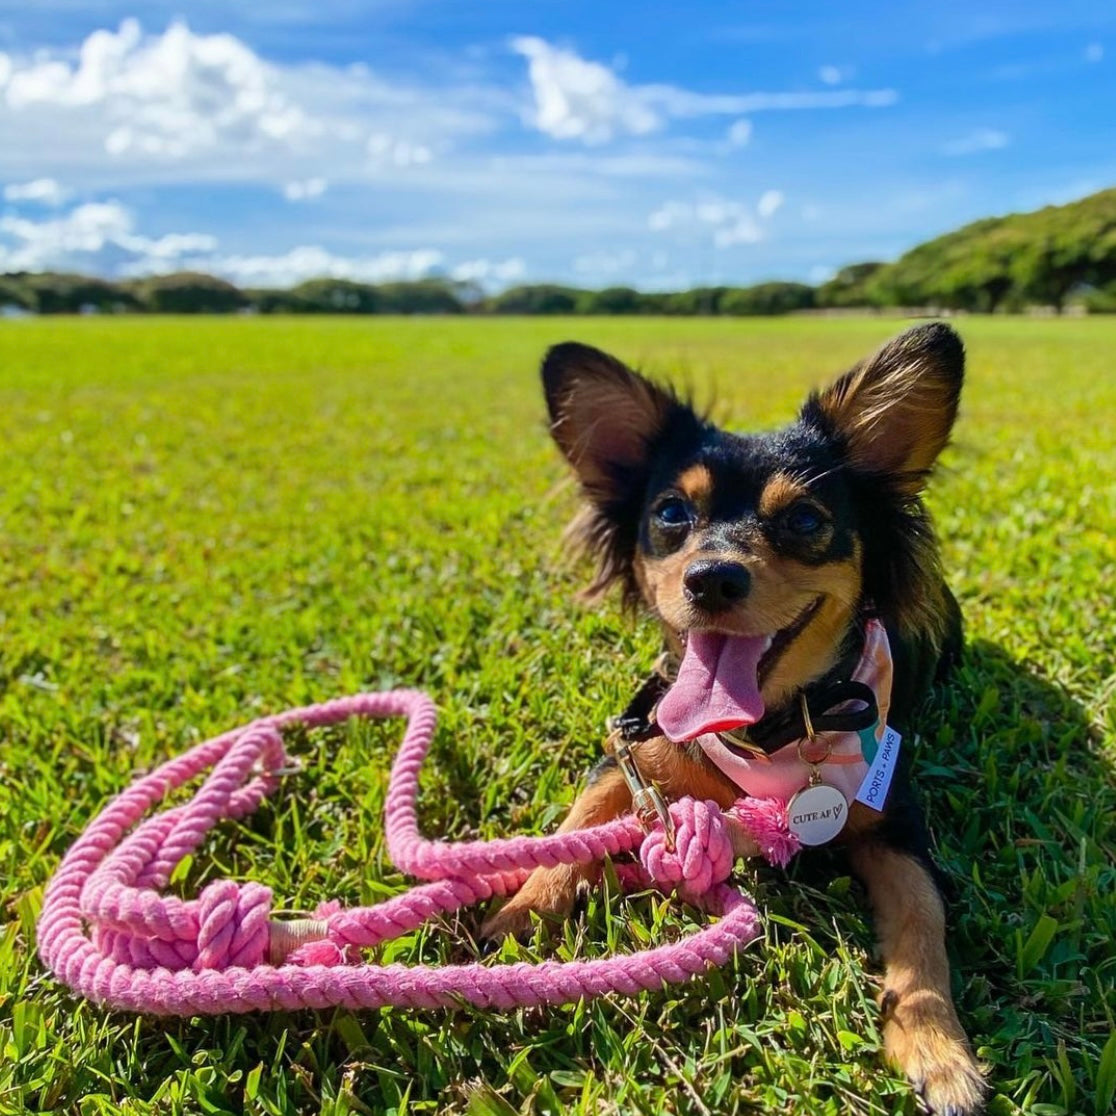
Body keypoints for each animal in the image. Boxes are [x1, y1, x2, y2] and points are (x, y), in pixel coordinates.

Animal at [479, 323, 986, 1116]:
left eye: (805, 520)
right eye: (670, 515)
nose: (712, 577)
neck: (765, 731)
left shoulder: (899, 822)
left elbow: (920, 918)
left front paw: (939, 1051)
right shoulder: (635, 743)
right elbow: (576, 825)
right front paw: (520, 916)